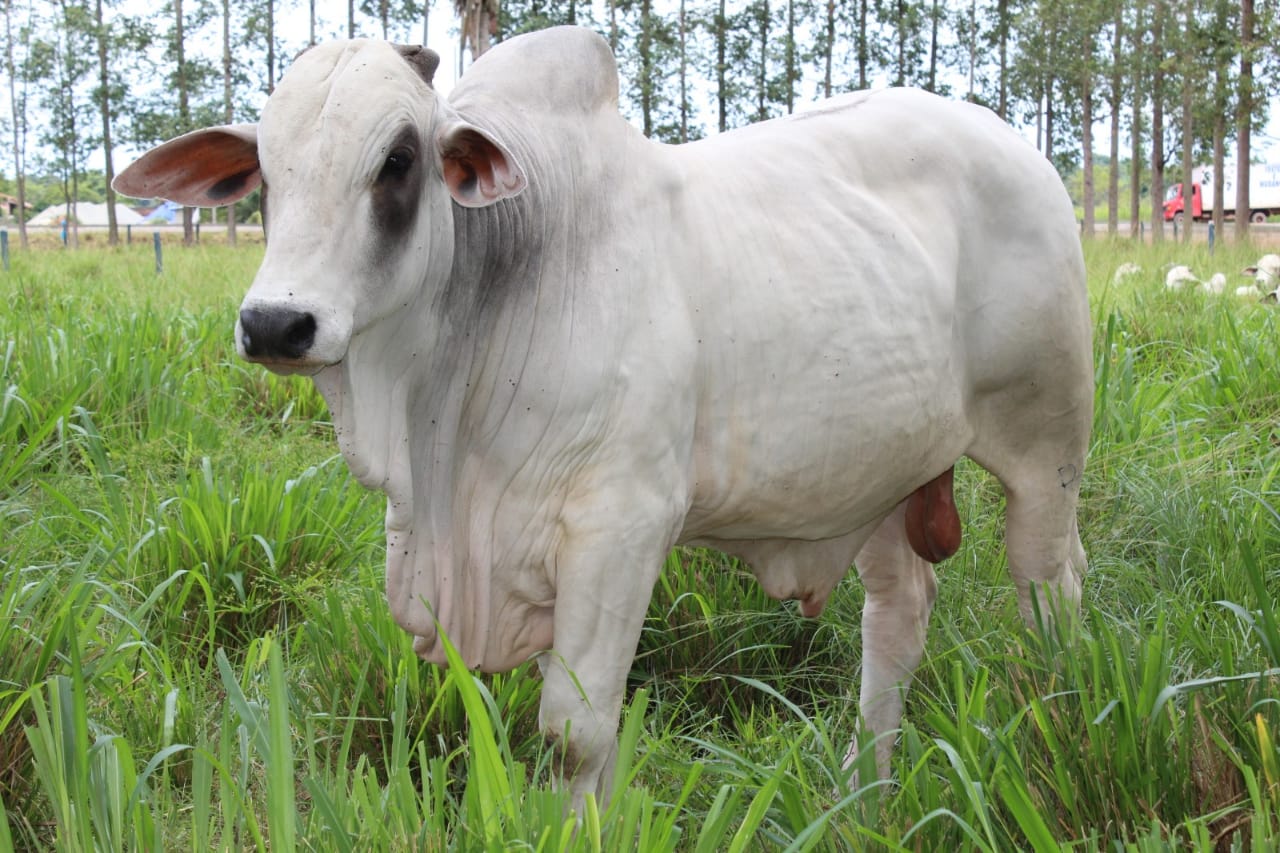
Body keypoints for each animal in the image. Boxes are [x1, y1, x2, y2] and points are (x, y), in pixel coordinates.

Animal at [114, 26, 1093, 807]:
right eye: (266, 173)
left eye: (396, 161)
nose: (277, 322)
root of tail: (1021, 149)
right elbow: (599, 740)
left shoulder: (620, 529)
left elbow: (571, 737)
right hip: (884, 471)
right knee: (897, 617)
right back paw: (866, 794)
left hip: (1046, 452)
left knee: (1050, 594)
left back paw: (1054, 724)